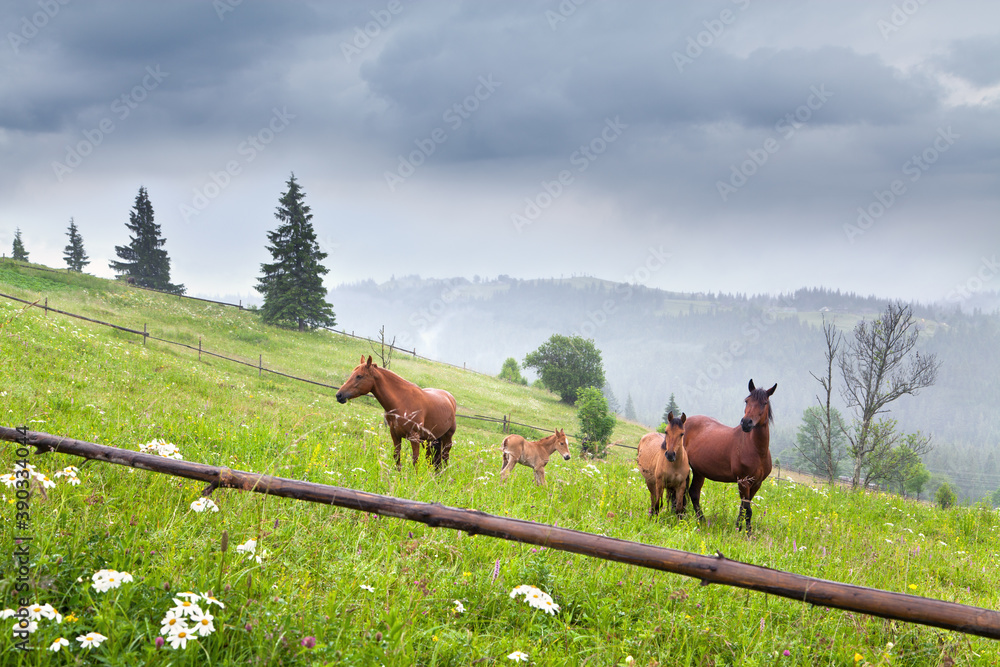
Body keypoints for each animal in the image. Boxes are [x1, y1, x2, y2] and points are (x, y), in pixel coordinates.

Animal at [685, 380, 777, 534]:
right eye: (747, 401)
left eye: (764, 403)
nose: (746, 423)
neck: (758, 451)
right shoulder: (743, 482)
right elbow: (748, 510)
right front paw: (747, 533)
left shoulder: (756, 484)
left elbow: (743, 507)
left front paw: (739, 528)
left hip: (699, 471)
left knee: (694, 492)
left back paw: (701, 520)